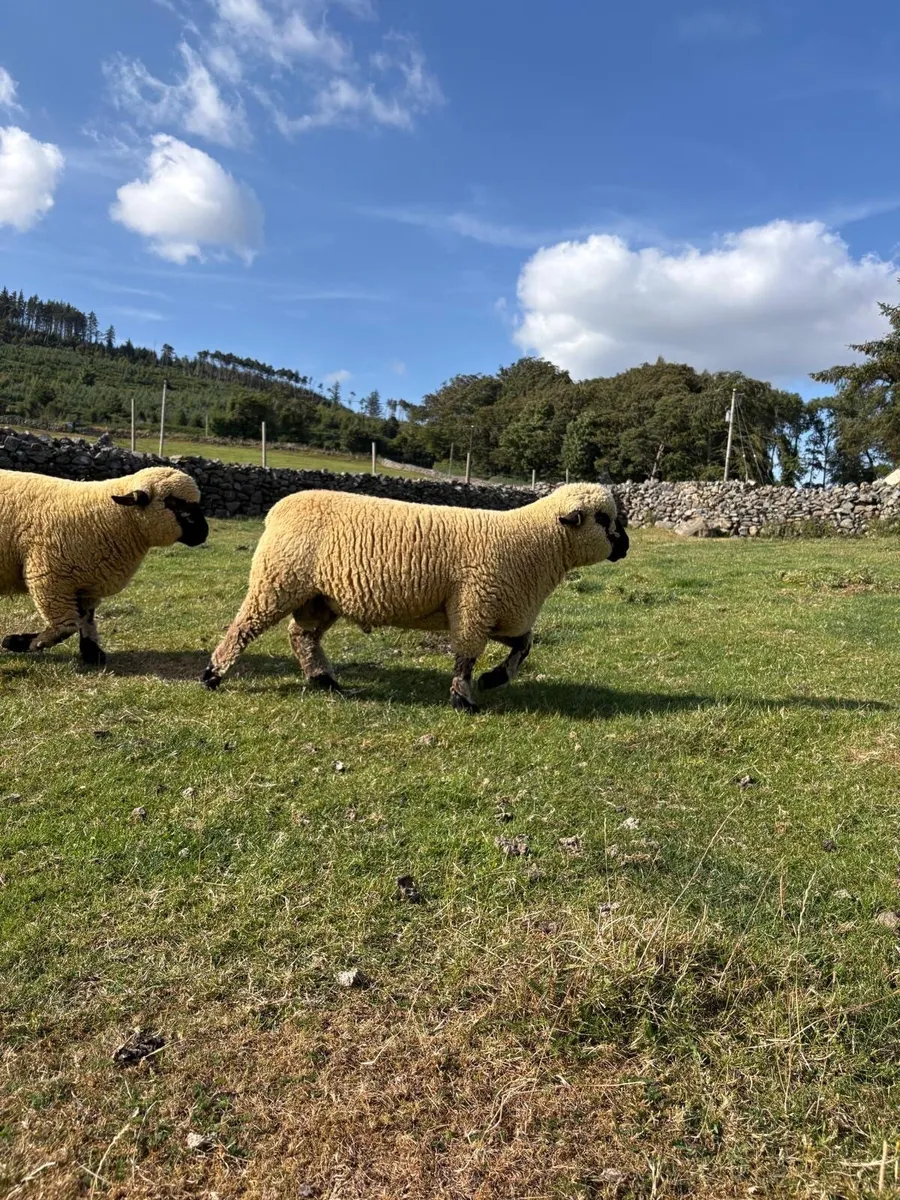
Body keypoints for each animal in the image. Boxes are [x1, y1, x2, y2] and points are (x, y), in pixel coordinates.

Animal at [0, 465, 209, 667]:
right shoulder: (49, 580)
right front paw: (20, 642)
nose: (204, 532)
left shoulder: (86, 584)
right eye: (173, 503)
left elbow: (86, 620)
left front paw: (92, 653)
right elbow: (66, 628)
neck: (106, 517)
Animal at [200, 483, 628, 710]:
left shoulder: (502, 611)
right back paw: (212, 676)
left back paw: (324, 681)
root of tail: (279, 507)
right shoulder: (474, 605)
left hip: (321, 597)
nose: (625, 546)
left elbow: (523, 647)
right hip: (277, 582)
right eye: (603, 519)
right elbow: (465, 659)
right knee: (243, 628)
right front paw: (464, 700)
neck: (533, 544)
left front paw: (494, 679)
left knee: (301, 636)